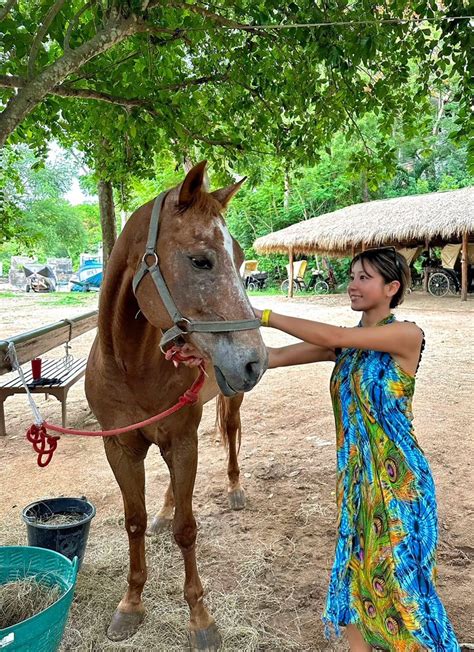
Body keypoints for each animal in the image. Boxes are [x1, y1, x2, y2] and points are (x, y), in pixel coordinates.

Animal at [84, 160, 266, 648]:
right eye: (201, 260)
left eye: (241, 259)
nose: (255, 361)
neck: (131, 367)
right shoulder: (121, 447)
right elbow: (134, 521)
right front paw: (130, 605)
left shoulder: (183, 440)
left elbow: (188, 529)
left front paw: (200, 619)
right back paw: (165, 510)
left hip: (230, 402)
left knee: (232, 436)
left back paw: (235, 489)